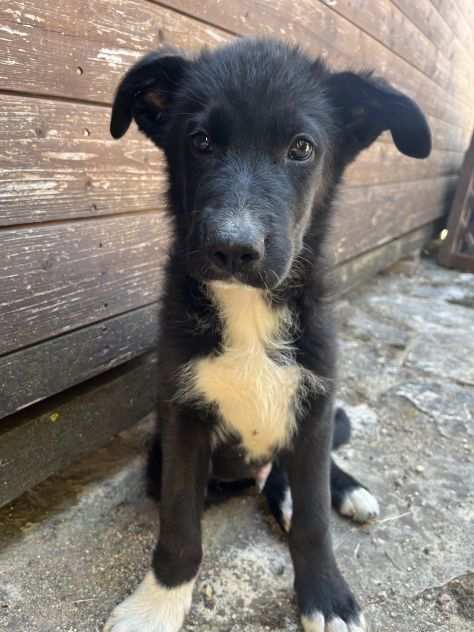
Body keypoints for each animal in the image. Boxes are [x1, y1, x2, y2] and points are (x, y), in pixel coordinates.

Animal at [104, 38, 434, 632]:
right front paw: (157, 604)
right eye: (200, 141)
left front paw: (327, 596)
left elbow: (313, 518)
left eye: (302, 148)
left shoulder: (315, 398)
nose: (234, 249)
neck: (251, 313)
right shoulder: (182, 416)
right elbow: (180, 525)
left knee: (301, 473)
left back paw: (345, 491)